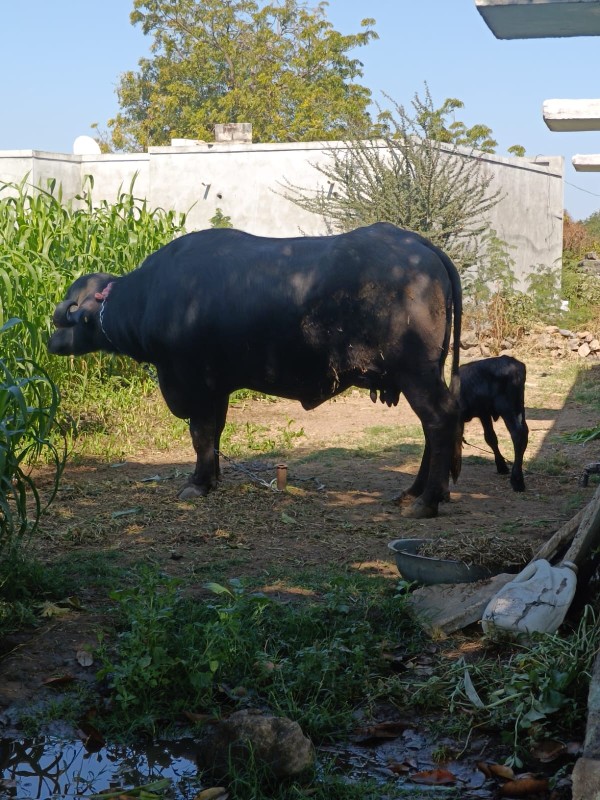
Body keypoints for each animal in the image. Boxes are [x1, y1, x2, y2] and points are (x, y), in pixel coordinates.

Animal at [49, 222, 462, 520]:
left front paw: (196, 484)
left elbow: (200, 434)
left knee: (440, 419)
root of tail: (421, 247)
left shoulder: (192, 382)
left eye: (74, 313)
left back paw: (426, 501)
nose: (51, 340)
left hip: (416, 373)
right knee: (436, 424)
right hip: (426, 372)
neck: (152, 297)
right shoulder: (216, 387)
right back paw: (416, 491)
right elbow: (213, 435)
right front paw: (211, 478)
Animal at [462, 358, 528, 494]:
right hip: (519, 406)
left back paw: (517, 480)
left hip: (505, 406)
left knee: (517, 434)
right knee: (525, 432)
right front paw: (501, 465)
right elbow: (491, 438)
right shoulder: (484, 414)